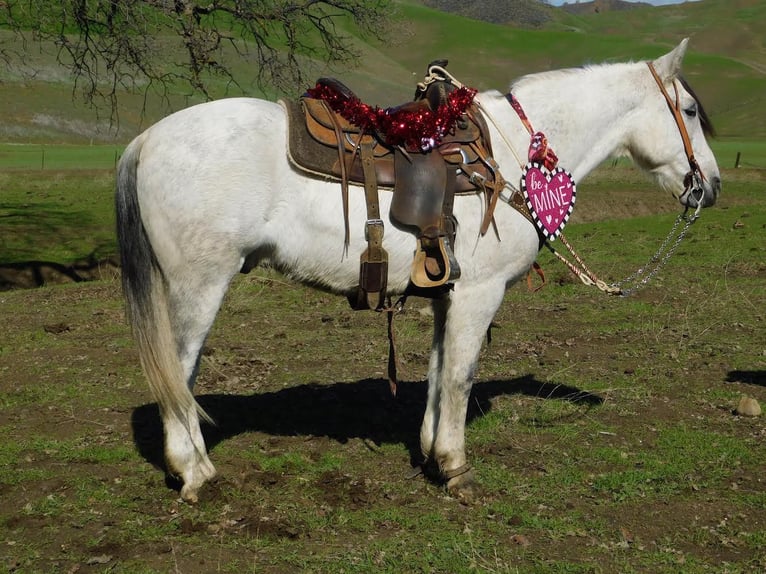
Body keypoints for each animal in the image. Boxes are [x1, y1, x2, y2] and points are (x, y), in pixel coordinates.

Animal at [114, 39, 720, 504]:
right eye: (690, 111)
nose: (710, 187)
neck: (512, 156)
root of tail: (146, 138)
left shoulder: (448, 293)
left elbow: (436, 372)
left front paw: (430, 453)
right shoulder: (479, 294)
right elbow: (460, 376)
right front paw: (456, 469)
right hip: (199, 285)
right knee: (179, 372)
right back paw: (194, 473)